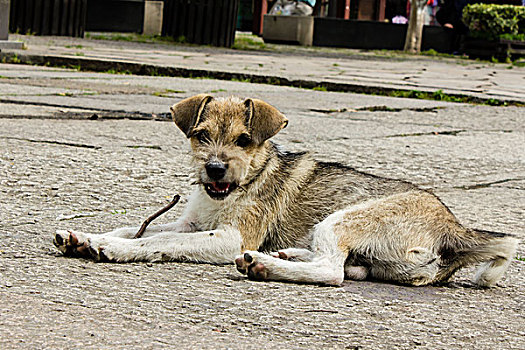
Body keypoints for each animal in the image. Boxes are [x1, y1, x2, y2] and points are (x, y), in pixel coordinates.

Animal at [54, 95, 516, 288]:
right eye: (201, 136)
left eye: (244, 140)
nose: (214, 168)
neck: (236, 187)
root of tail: (456, 230)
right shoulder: (191, 223)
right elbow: (138, 227)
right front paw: (85, 237)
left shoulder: (231, 236)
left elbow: (158, 241)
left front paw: (115, 249)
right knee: (349, 267)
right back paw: (285, 256)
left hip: (344, 218)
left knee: (333, 272)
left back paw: (265, 265)